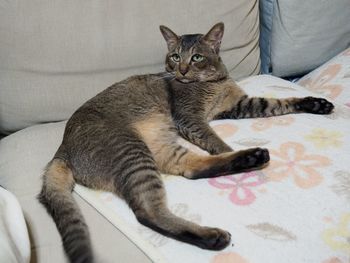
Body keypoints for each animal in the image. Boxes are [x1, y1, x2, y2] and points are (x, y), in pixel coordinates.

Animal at [37, 23, 334, 263]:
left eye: (197, 57)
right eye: (175, 56)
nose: (181, 69)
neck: (215, 81)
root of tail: (61, 150)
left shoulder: (238, 105)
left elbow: (278, 103)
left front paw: (315, 103)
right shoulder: (190, 118)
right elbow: (215, 140)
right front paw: (231, 153)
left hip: (159, 144)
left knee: (190, 169)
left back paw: (250, 158)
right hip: (131, 150)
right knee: (147, 212)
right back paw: (213, 233)